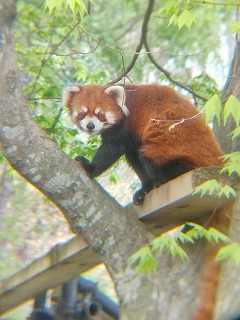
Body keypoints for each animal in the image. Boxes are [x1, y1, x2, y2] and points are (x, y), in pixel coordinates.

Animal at [62, 82, 222, 202]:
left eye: (100, 114)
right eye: (82, 114)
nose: (90, 126)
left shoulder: (126, 124)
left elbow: (113, 148)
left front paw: (89, 167)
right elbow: (131, 155)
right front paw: (146, 186)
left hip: (172, 144)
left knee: (150, 157)